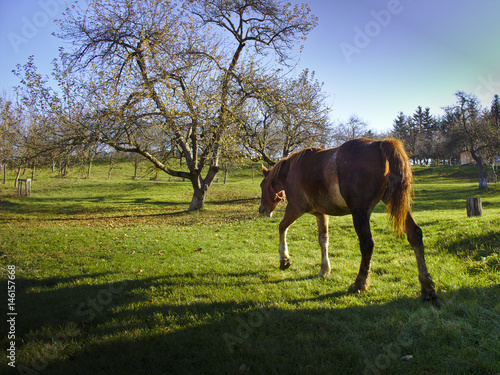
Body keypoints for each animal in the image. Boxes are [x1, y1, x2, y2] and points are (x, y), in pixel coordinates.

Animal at [260, 138, 436, 302]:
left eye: (262, 185)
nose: (262, 210)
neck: (293, 169)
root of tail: (379, 143)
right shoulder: (321, 214)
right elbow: (323, 240)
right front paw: (324, 269)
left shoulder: (295, 208)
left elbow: (282, 227)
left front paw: (284, 259)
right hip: (394, 203)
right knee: (415, 234)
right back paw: (427, 286)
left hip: (359, 213)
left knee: (367, 244)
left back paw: (359, 284)